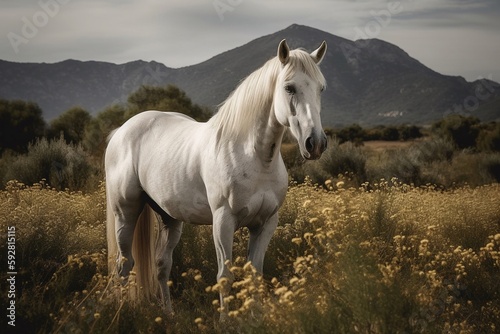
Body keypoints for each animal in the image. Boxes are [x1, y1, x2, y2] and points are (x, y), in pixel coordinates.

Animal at [105, 40, 328, 314]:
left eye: (321, 88)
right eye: (289, 87)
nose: (315, 143)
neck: (253, 156)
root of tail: (121, 131)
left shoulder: (265, 223)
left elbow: (254, 274)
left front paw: (254, 317)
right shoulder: (223, 221)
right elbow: (225, 276)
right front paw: (226, 319)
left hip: (169, 217)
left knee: (161, 264)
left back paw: (169, 314)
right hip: (125, 212)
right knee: (124, 265)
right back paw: (122, 311)